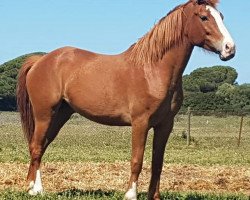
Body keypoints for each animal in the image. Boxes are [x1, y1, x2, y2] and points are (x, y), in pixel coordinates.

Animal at [16, 0, 235, 199]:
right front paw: (130, 194)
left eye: (221, 16)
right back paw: (36, 190)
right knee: (36, 147)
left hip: (61, 114)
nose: (230, 49)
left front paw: (154, 196)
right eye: (204, 17)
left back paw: (31, 186)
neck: (153, 70)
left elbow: (157, 163)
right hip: (45, 114)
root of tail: (40, 61)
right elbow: (137, 160)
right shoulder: (140, 122)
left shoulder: (165, 124)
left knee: (41, 146)